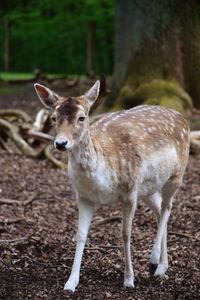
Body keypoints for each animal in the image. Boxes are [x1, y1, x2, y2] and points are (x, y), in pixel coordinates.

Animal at [34, 81, 191, 292]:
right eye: (53, 117)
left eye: (82, 117)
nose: (60, 143)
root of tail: (182, 117)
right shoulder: (83, 196)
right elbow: (80, 234)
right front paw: (71, 282)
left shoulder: (130, 191)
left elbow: (125, 233)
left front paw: (129, 279)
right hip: (148, 187)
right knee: (160, 210)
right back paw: (161, 267)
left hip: (176, 175)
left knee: (167, 207)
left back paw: (154, 261)